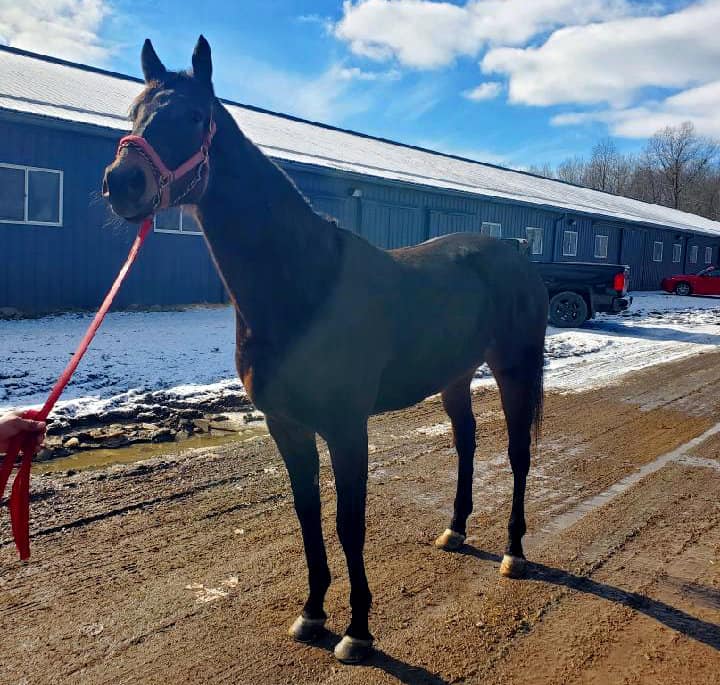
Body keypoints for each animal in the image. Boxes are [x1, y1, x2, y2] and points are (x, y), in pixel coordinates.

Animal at [103, 36, 548, 664]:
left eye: (193, 116)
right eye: (134, 111)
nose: (122, 182)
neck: (304, 286)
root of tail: (515, 251)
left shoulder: (345, 427)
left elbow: (348, 523)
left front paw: (358, 631)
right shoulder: (286, 425)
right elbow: (309, 518)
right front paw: (312, 613)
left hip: (515, 369)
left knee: (517, 456)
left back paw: (514, 552)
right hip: (455, 377)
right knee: (466, 445)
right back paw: (455, 530)